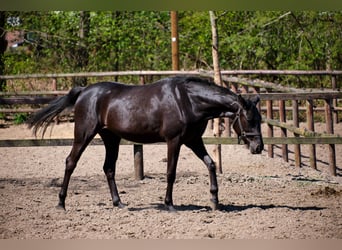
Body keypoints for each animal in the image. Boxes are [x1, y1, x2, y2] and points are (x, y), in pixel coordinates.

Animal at [28, 76, 264, 211]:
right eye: (249, 118)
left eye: (260, 118)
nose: (258, 147)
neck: (188, 100)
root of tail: (85, 91)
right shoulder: (174, 141)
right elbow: (171, 173)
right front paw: (169, 204)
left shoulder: (193, 140)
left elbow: (211, 164)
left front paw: (215, 200)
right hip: (84, 135)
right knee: (70, 162)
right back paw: (61, 203)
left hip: (111, 138)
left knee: (109, 168)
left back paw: (119, 203)